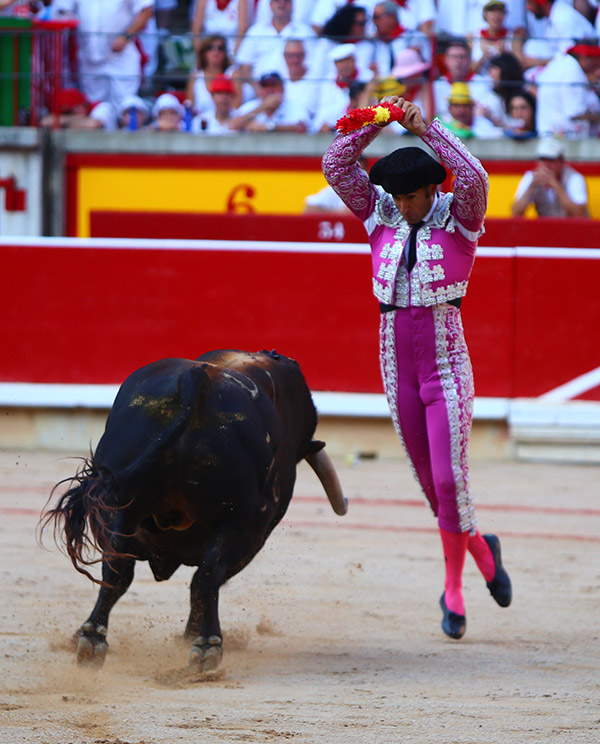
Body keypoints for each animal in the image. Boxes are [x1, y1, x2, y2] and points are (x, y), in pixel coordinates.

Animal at [43, 352, 346, 672]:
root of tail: (198, 380)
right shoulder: (252, 536)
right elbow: (205, 581)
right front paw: (192, 637)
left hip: (120, 505)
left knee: (117, 568)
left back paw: (90, 640)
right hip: (240, 523)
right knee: (208, 573)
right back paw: (206, 647)